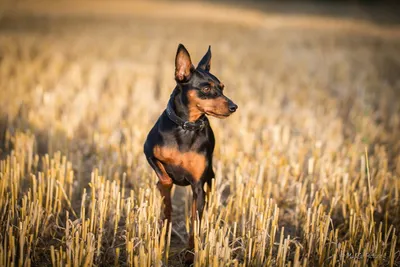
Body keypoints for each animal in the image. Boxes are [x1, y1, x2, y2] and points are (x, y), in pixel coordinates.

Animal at [144, 44, 238, 264]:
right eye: (206, 88)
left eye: (222, 87)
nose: (234, 107)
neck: (186, 127)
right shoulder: (148, 152)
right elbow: (164, 178)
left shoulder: (198, 186)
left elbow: (195, 223)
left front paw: (190, 255)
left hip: (210, 180)